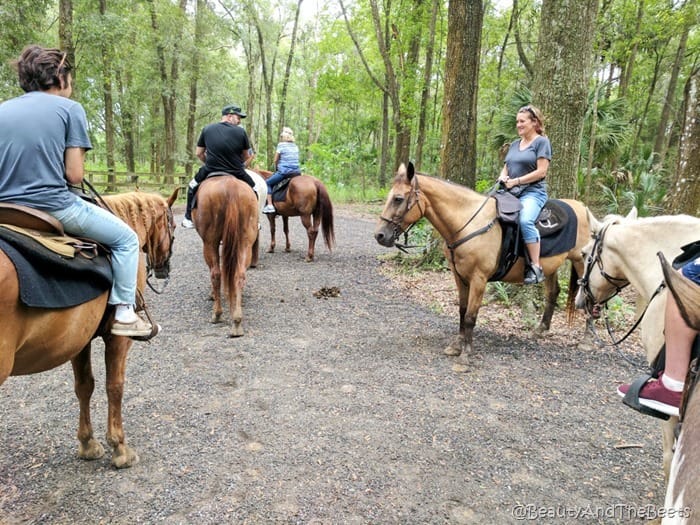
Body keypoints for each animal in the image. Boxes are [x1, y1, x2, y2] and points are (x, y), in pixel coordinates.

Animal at [0, 188, 179, 466]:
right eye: (173, 226)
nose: (163, 269)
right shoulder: (117, 339)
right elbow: (114, 386)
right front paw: (120, 447)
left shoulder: (78, 338)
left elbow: (84, 386)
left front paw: (87, 444)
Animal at [191, 173, 260, 336]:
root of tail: (231, 186)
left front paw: (212, 295)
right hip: (245, 241)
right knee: (239, 274)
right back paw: (237, 321)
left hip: (210, 242)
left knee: (216, 273)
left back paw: (217, 314)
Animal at [372, 162, 592, 370]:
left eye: (398, 199)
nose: (380, 235)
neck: (469, 224)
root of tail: (583, 208)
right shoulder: (459, 276)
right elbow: (462, 311)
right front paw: (457, 346)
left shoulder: (479, 279)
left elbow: (471, 315)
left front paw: (466, 355)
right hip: (552, 266)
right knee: (553, 292)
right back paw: (541, 329)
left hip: (581, 262)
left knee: (589, 298)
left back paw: (587, 340)